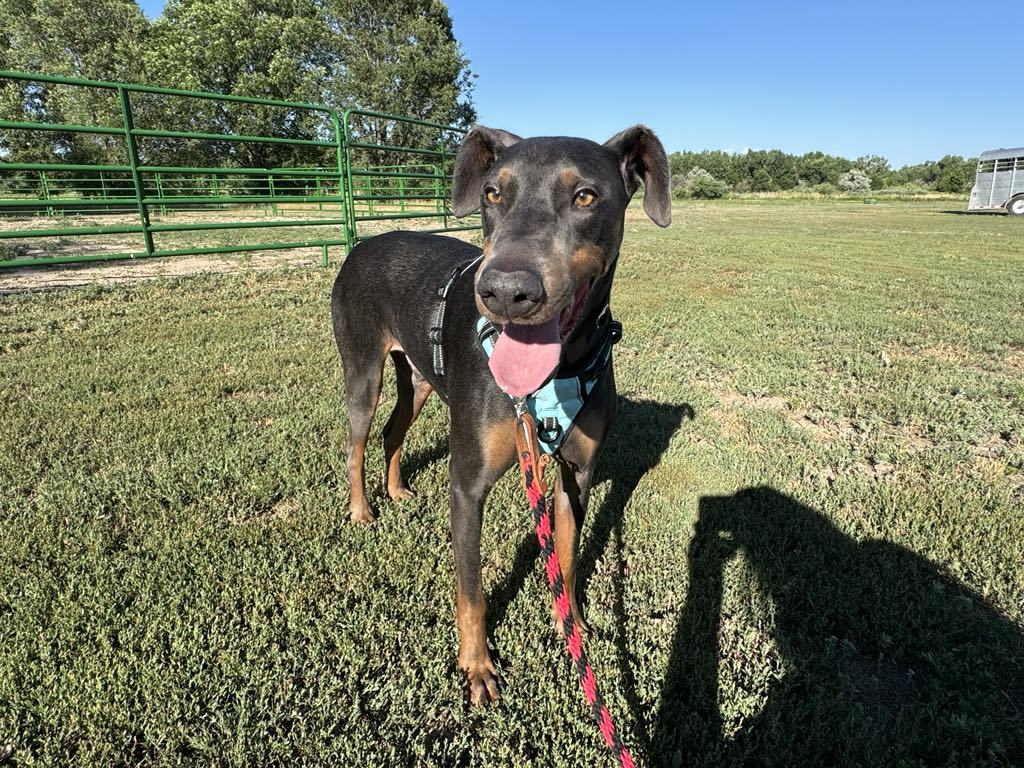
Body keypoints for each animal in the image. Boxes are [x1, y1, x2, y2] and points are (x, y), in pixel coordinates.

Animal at [327, 123, 675, 708]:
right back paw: (360, 509)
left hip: (420, 381)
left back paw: (395, 489)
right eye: (492, 193)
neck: (555, 373)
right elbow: (471, 591)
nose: (506, 292)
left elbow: (567, 559)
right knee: (355, 443)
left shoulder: (577, 474)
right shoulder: (468, 482)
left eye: (586, 197)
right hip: (364, 372)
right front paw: (476, 667)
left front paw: (570, 626)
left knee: (393, 432)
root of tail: (363, 243)